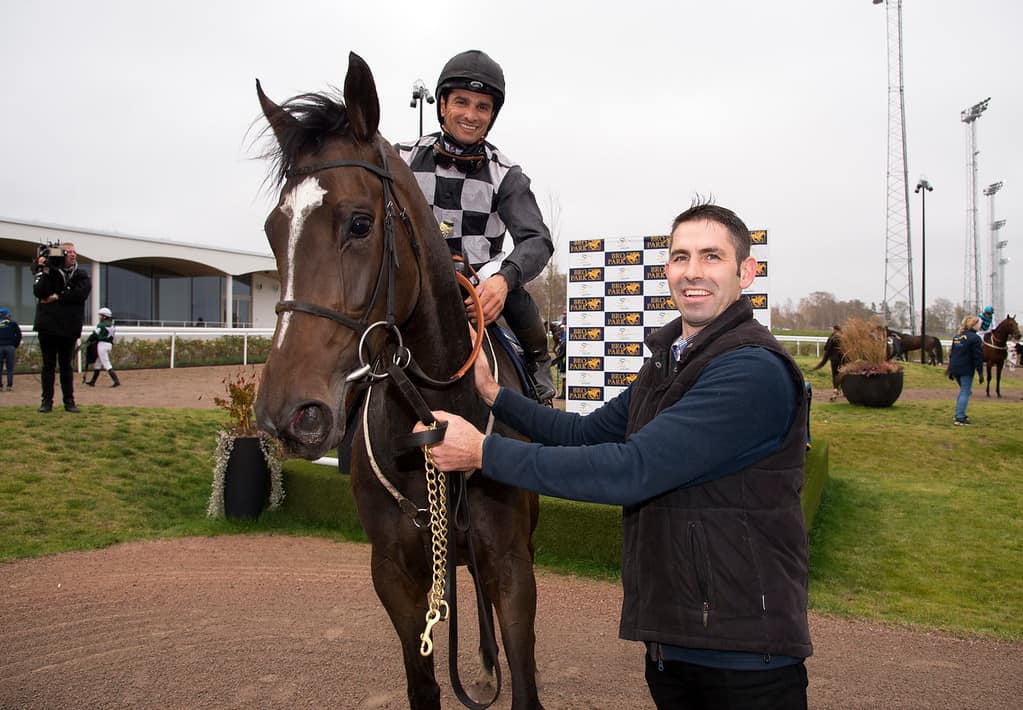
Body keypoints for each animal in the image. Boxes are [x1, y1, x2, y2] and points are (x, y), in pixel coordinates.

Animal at [250, 52, 544, 707]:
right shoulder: (393, 573)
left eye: (360, 223)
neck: (436, 415)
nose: (288, 412)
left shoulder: (513, 565)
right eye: (273, 229)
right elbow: (423, 682)